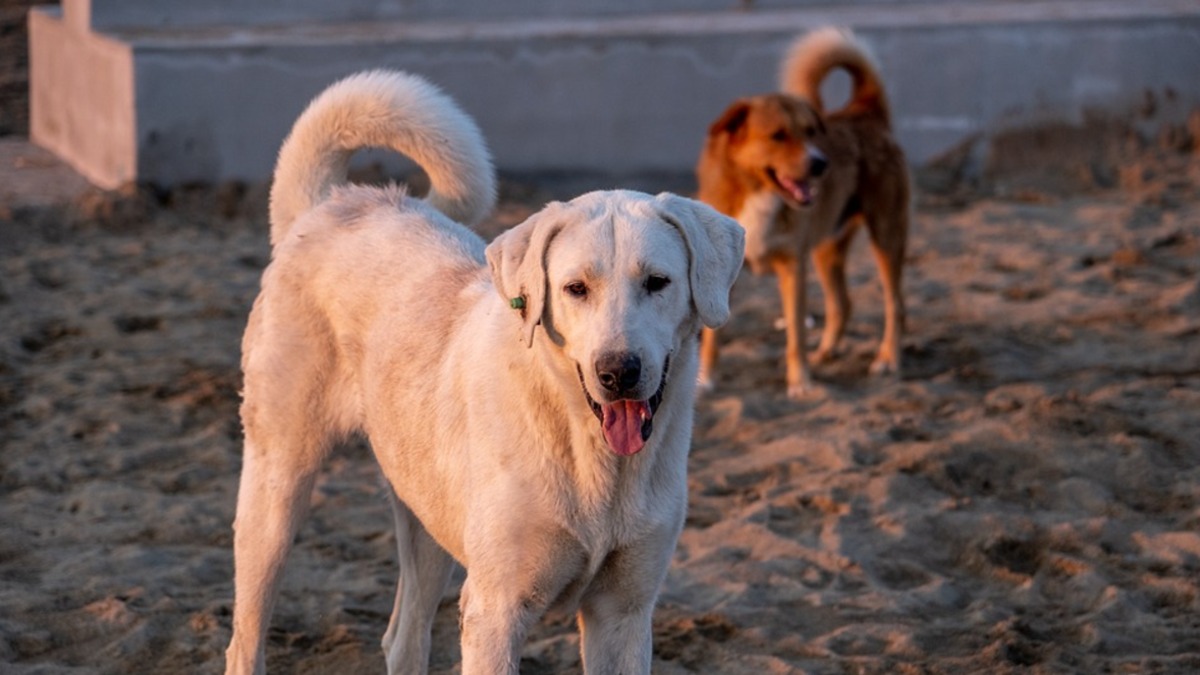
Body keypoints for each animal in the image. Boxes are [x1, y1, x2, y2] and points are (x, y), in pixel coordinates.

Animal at [224, 69, 744, 672]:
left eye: (657, 282)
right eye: (575, 288)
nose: (618, 370)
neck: (591, 455)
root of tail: (329, 205)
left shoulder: (625, 615)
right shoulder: (496, 611)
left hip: (423, 513)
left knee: (403, 638)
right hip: (276, 490)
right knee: (246, 637)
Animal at [696, 27, 907, 398]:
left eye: (810, 132)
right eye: (778, 136)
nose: (821, 164)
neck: (758, 193)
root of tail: (863, 111)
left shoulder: (793, 267)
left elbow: (795, 330)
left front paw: (800, 383)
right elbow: (713, 336)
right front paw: (706, 378)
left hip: (887, 235)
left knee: (894, 304)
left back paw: (887, 358)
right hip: (826, 248)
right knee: (842, 303)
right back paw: (826, 352)